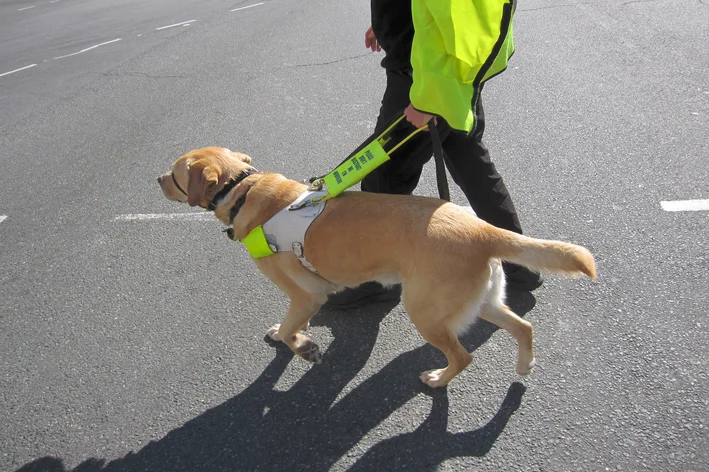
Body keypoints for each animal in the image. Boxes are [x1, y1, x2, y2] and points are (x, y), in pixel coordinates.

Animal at [158, 148, 596, 388]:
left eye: (175, 174)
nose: (156, 177)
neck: (241, 189)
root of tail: (481, 227)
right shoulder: (304, 299)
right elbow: (289, 324)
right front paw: (294, 336)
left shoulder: (307, 294)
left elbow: (290, 329)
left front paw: (301, 346)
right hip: (482, 300)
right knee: (524, 326)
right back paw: (525, 364)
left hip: (426, 312)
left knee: (463, 357)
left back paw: (438, 379)